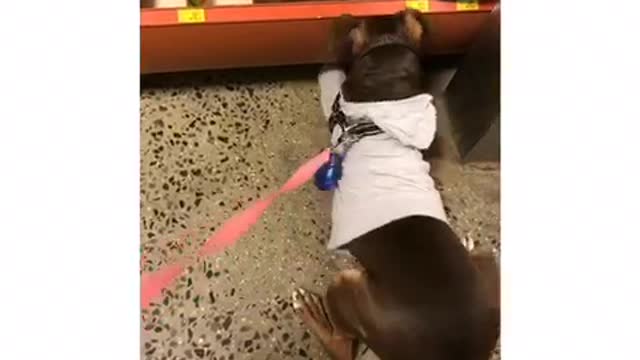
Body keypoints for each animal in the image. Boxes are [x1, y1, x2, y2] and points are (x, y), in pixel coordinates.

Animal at [292, 9, 502, 360]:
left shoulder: (337, 108)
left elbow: (330, 88)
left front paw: (328, 69)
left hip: (349, 287)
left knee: (342, 345)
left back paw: (311, 311)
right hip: (490, 268)